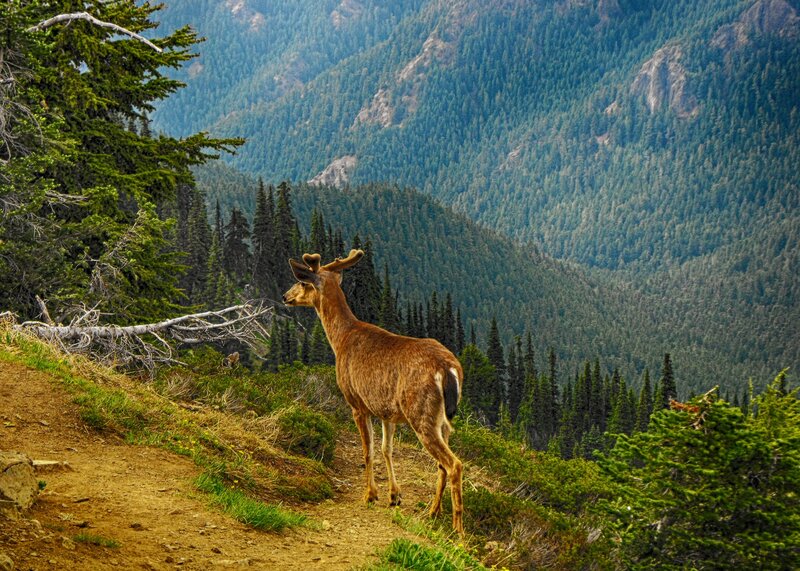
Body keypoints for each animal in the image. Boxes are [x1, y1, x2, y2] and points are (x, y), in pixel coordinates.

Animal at [282, 249, 465, 535]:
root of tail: (448, 368)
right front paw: (394, 496)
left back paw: (457, 530)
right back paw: (433, 512)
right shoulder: (387, 411)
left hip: (420, 411)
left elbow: (367, 451)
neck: (341, 339)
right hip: (442, 418)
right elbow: (386, 449)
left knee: (453, 464)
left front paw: (370, 494)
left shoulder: (357, 402)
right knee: (442, 465)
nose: (285, 296)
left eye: (302, 283)